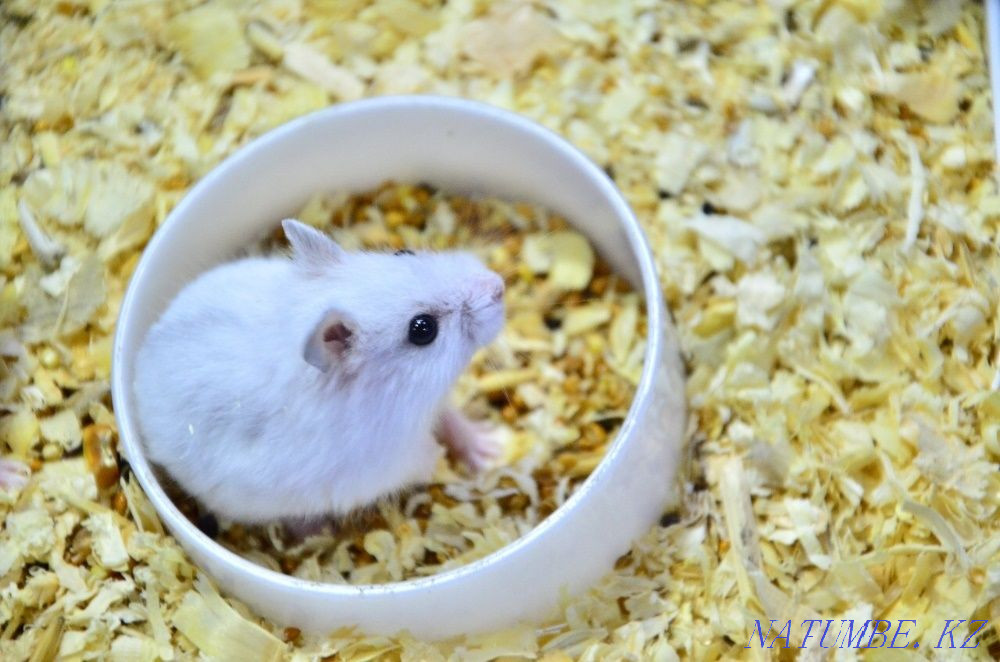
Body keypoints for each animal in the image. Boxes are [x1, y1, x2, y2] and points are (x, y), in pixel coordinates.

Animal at [133, 219, 505, 526]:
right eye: (423, 329)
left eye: (404, 251)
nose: (498, 285)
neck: (397, 394)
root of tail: (141, 360)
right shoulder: (391, 462)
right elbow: (425, 459)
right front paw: (447, 466)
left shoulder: (435, 401)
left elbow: (454, 420)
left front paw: (491, 449)